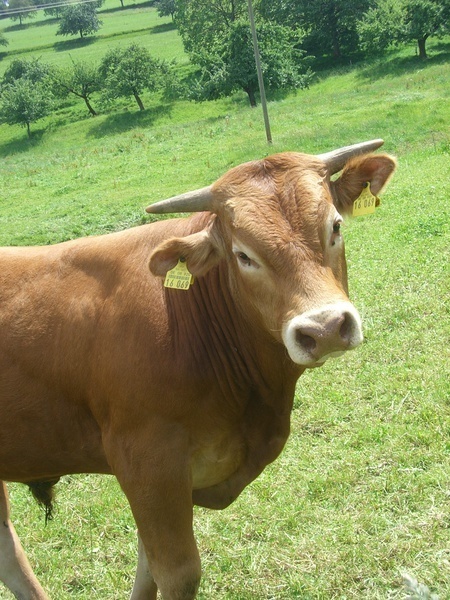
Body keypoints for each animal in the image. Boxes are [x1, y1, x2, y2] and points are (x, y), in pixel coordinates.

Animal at [0, 140, 396, 600]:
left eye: (335, 226)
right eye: (243, 255)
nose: (326, 328)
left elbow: (147, 567)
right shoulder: (148, 461)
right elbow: (176, 572)